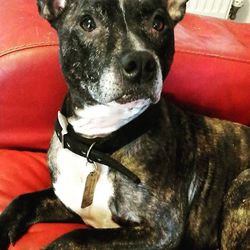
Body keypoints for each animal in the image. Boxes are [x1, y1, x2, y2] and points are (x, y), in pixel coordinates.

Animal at [0, 0, 250, 249]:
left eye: (158, 24)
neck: (96, 142)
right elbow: (24, 200)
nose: (141, 62)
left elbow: (75, 237)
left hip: (241, 184)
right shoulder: (69, 201)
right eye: (87, 23)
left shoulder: (162, 230)